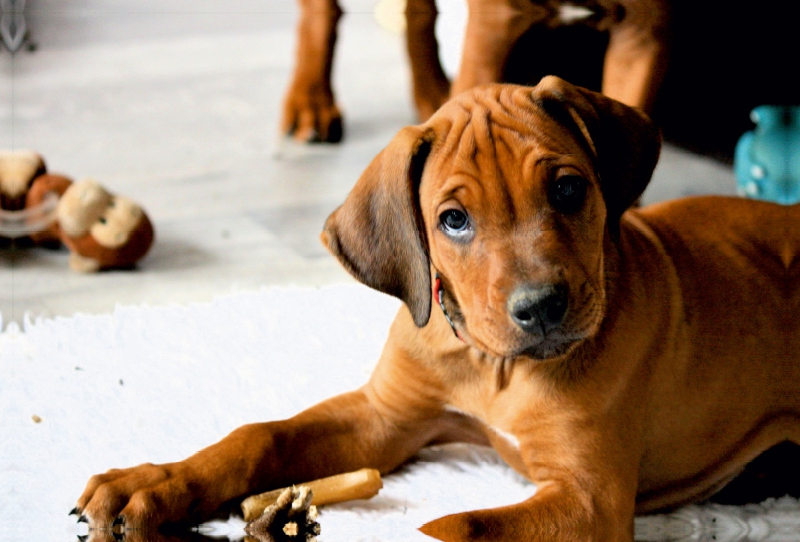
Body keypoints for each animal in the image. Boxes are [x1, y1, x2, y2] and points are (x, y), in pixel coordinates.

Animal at [76, 77, 800, 542]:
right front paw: (151, 484)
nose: (541, 308)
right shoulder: (386, 419)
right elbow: (260, 435)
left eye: (569, 189)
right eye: (453, 220)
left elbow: (461, 524)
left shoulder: (589, 497)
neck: (492, 364)